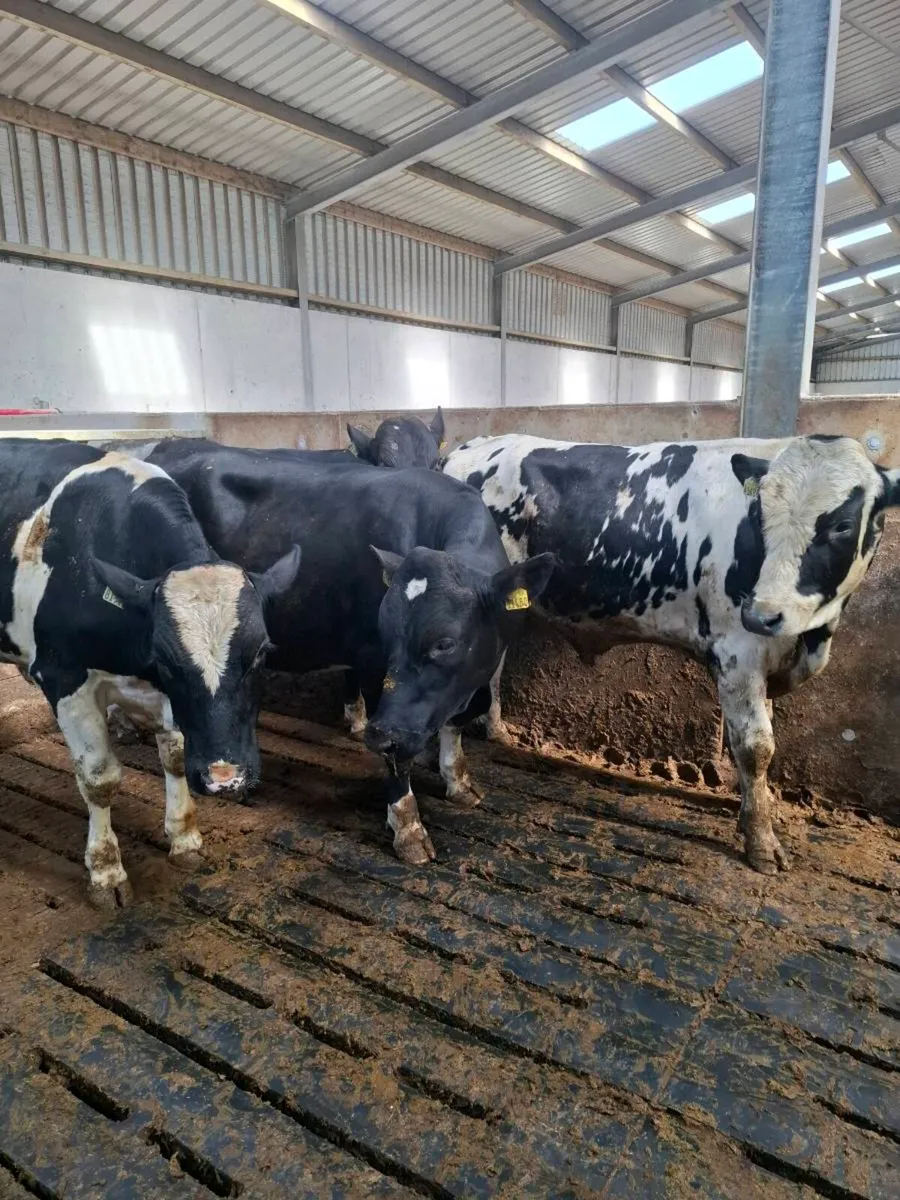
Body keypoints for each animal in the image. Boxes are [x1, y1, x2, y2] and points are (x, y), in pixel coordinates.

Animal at [0, 441, 300, 906]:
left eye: (261, 654)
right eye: (165, 660)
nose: (225, 779)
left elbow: (174, 756)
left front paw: (184, 837)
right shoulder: (63, 677)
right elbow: (99, 778)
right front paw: (106, 871)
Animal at [140, 438, 553, 865]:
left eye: (444, 643)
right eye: (385, 632)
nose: (379, 733)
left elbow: (456, 722)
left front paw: (458, 780)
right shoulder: (372, 664)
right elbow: (397, 758)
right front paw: (408, 827)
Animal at [443, 433, 900, 875]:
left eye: (842, 525)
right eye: (760, 517)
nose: (762, 614)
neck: (813, 638)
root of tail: (470, 447)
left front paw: (755, 808)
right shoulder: (738, 652)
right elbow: (756, 746)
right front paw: (762, 843)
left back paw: (496, 730)